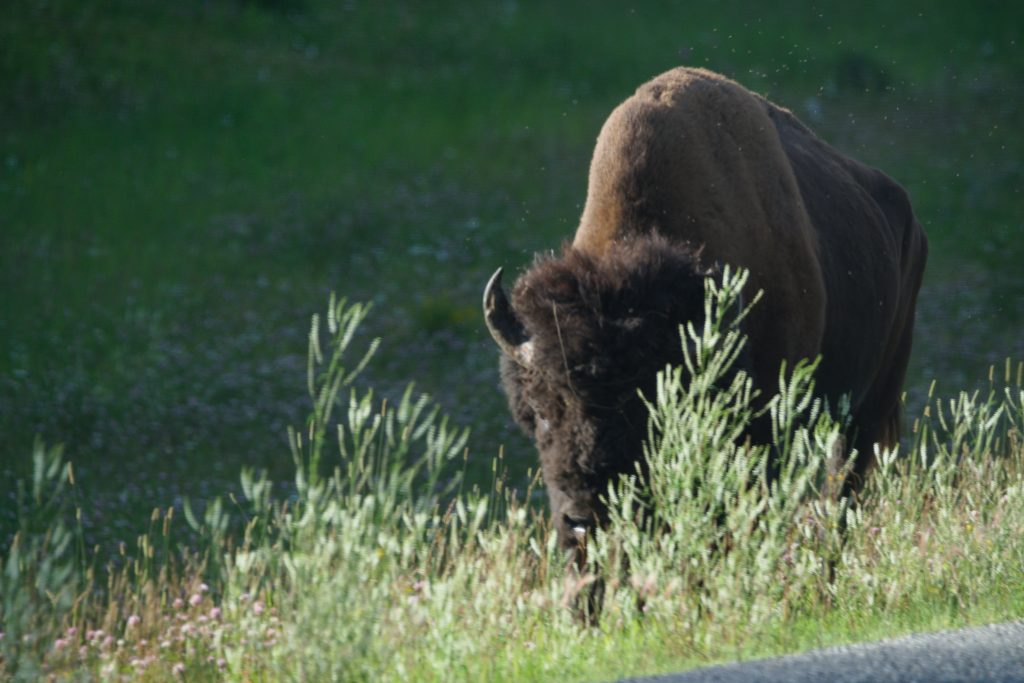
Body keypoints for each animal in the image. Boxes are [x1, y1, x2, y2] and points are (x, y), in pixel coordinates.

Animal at [483, 67, 927, 556]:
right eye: (541, 411)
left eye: (640, 410)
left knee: (842, 492)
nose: (583, 519)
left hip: (866, 411)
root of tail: (908, 217)